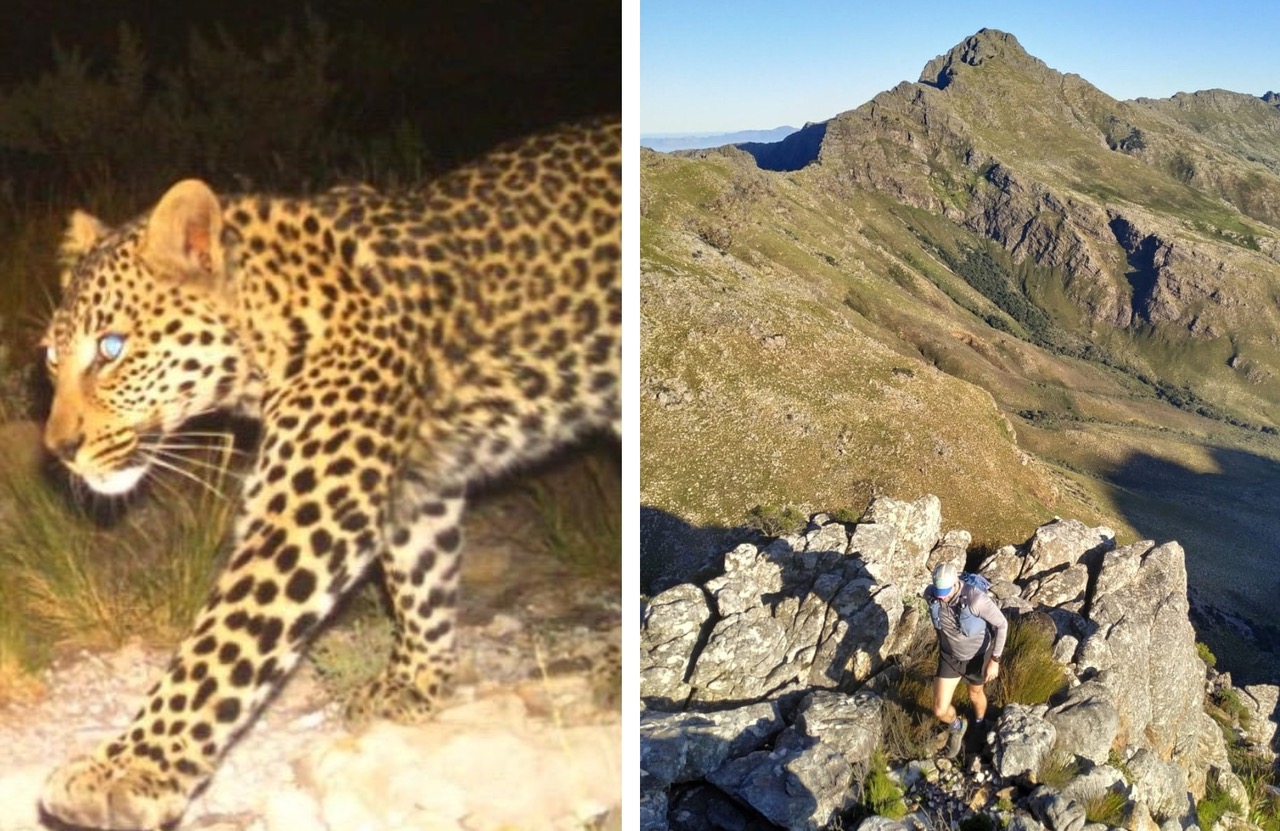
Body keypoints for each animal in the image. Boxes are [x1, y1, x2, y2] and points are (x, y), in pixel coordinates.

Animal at [37, 117, 621, 830]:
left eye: (112, 348)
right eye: (51, 360)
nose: (59, 449)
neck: (265, 330)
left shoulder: (308, 507)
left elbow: (220, 646)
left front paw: (127, 770)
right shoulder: (417, 485)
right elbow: (422, 579)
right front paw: (414, 684)